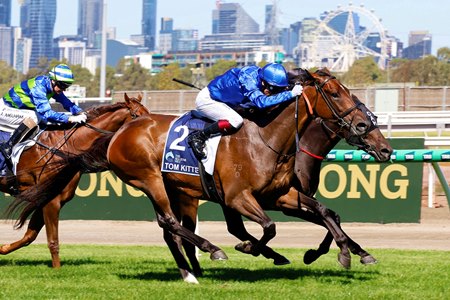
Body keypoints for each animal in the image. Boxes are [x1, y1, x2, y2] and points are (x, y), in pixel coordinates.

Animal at [103, 68, 392, 282]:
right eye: (334, 94)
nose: (385, 148)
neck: (266, 140)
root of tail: (123, 130)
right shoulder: (238, 197)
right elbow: (270, 226)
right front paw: (253, 248)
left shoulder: (281, 195)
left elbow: (325, 212)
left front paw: (345, 252)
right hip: (151, 181)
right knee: (170, 222)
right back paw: (212, 251)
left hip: (176, 188)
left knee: (172, 229)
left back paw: (191, 273)